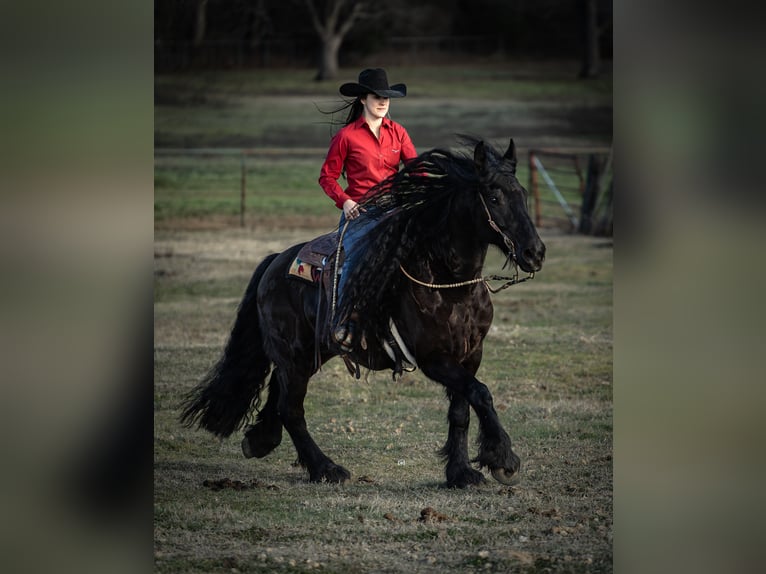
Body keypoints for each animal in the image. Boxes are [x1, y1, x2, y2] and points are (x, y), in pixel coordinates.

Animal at [182, 137, 544, 488]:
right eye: (494, 197)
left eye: (523, 195)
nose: (535, 252)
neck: (450, 284)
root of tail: (275, 262)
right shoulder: (433, 358)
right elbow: (480, 393)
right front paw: (503, 460)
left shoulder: (470, 354)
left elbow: (462, 409)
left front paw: (461, 473)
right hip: (294, 355)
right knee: (291, 409)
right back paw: (326, 469)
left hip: (306, 356)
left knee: (279, 395)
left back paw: (261, 440)